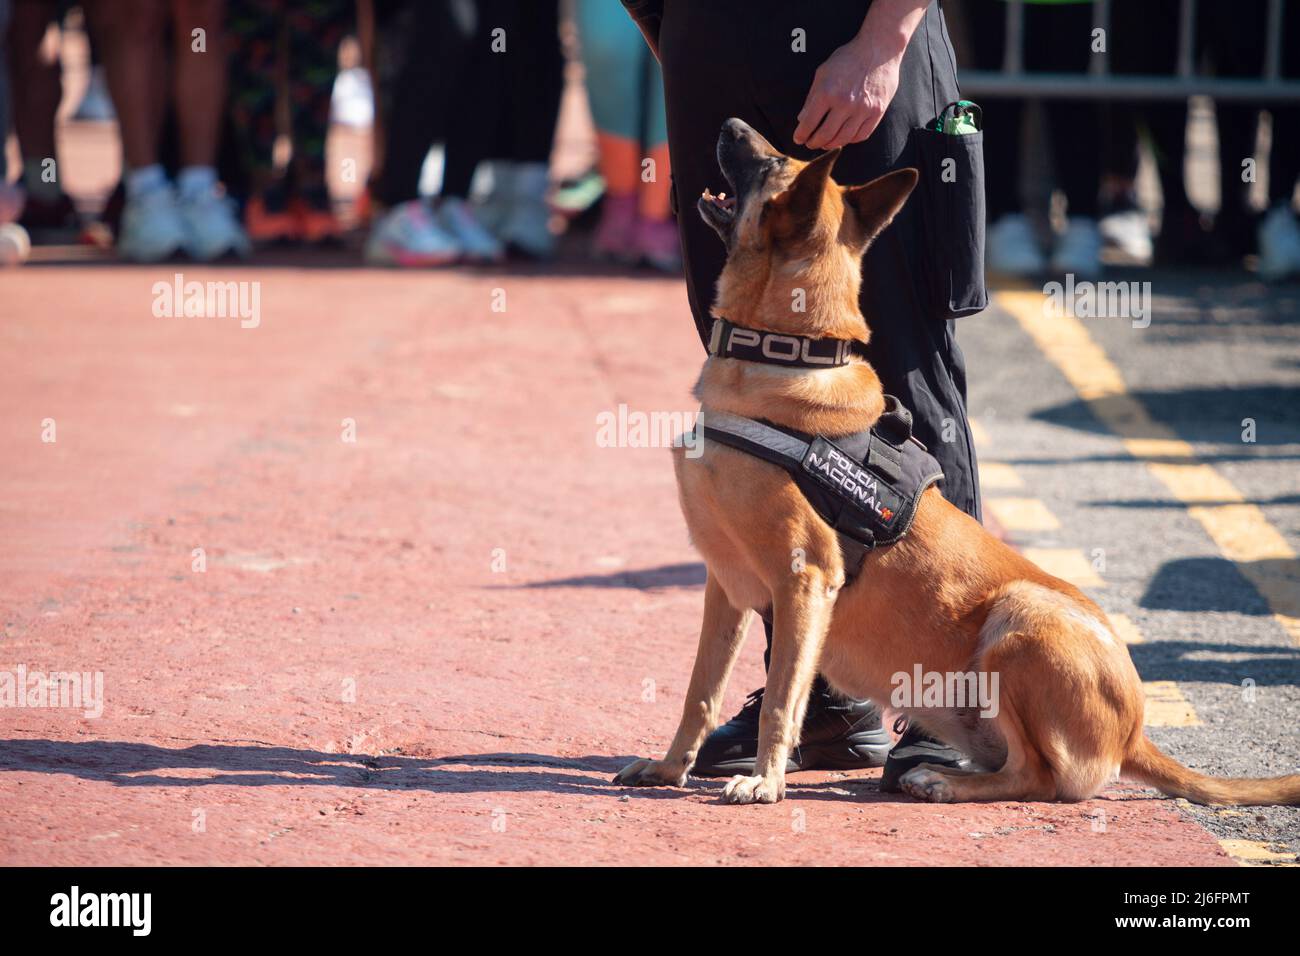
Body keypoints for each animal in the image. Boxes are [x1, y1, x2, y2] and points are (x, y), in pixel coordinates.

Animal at [611, 119, 1300, 806]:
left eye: (775, 161)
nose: (729, 125)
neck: (784, 355)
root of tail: (1134, 733)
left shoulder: (804, 581)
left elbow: (784, 698)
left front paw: (765, 780)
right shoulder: (726, 586)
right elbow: (699, 693)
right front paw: (671, 768)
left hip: (1017, 622)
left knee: (1038, 776)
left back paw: (939, 778)